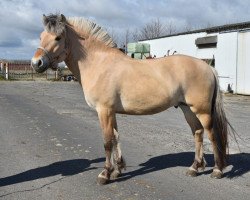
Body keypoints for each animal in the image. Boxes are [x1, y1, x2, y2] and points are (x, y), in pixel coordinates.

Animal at [31, 13, 234, 184]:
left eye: (58, 37)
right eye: (41, 36)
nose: (36, 63)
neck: (99, 63)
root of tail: (208, 67)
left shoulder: (104, 110)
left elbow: (107, 141)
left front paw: (105, 174)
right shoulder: (111, 112)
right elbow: (115, 138)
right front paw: (117, 170)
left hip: (202, 110)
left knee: (212, 135)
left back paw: (217, 170)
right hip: (187, 108)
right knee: (198, 133)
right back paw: (194, 168)